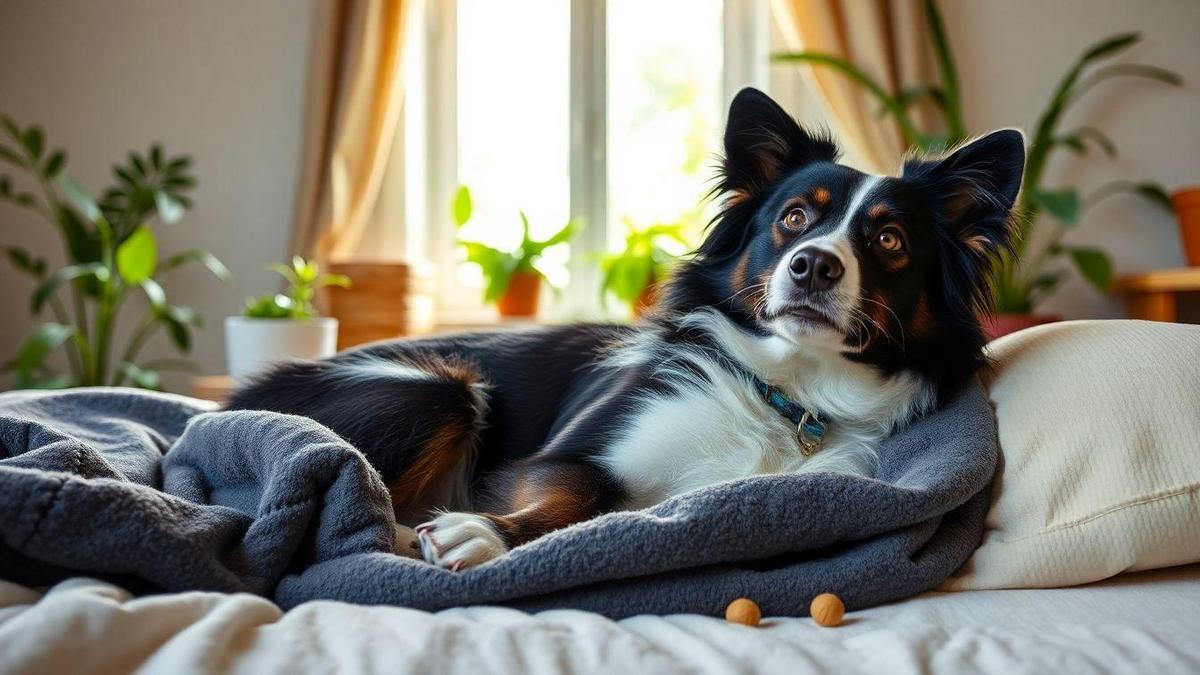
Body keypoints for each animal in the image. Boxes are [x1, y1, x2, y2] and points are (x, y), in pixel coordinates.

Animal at [229, 84, 1027, 566]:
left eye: (889, 240)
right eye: (796, 218)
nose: (812, 267)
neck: (791, 396)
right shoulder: (563, 456)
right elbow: (581, 497)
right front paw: (483, 531)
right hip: (438, 390)